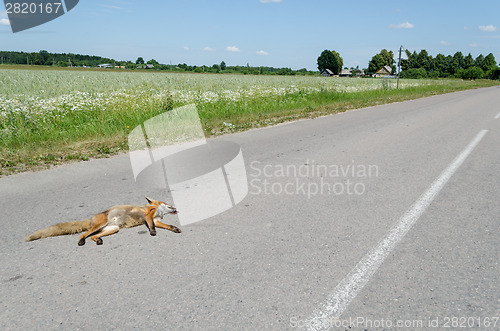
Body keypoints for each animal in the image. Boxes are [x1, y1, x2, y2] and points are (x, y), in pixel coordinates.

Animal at [23, 197, 180, 246]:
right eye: (166, 203)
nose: (175, 207)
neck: (158, 211)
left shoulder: (157, 220)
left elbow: (167, 226)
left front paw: (174, 228)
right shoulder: (148, 215)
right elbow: (152, 226)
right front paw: (152, 232)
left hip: (112, 229)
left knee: (93, 236)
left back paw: (98, 240)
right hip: (101, 224)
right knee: (83, 234)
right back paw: (81, 241)